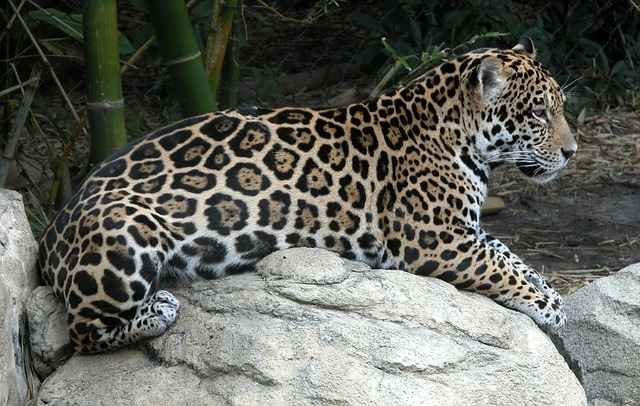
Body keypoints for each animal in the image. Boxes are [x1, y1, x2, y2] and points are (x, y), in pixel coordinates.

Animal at [37, 38, 577, 353]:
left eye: (560, 107)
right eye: (538, 114)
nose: (571, 151)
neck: (456, 131)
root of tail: (49, 236)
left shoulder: (465, 231)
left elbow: (507, 252)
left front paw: (549, 290)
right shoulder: (435, 239)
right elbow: (499, 264)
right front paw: (551, 308)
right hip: (128, 229)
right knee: (84, 330)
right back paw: (159, 311)